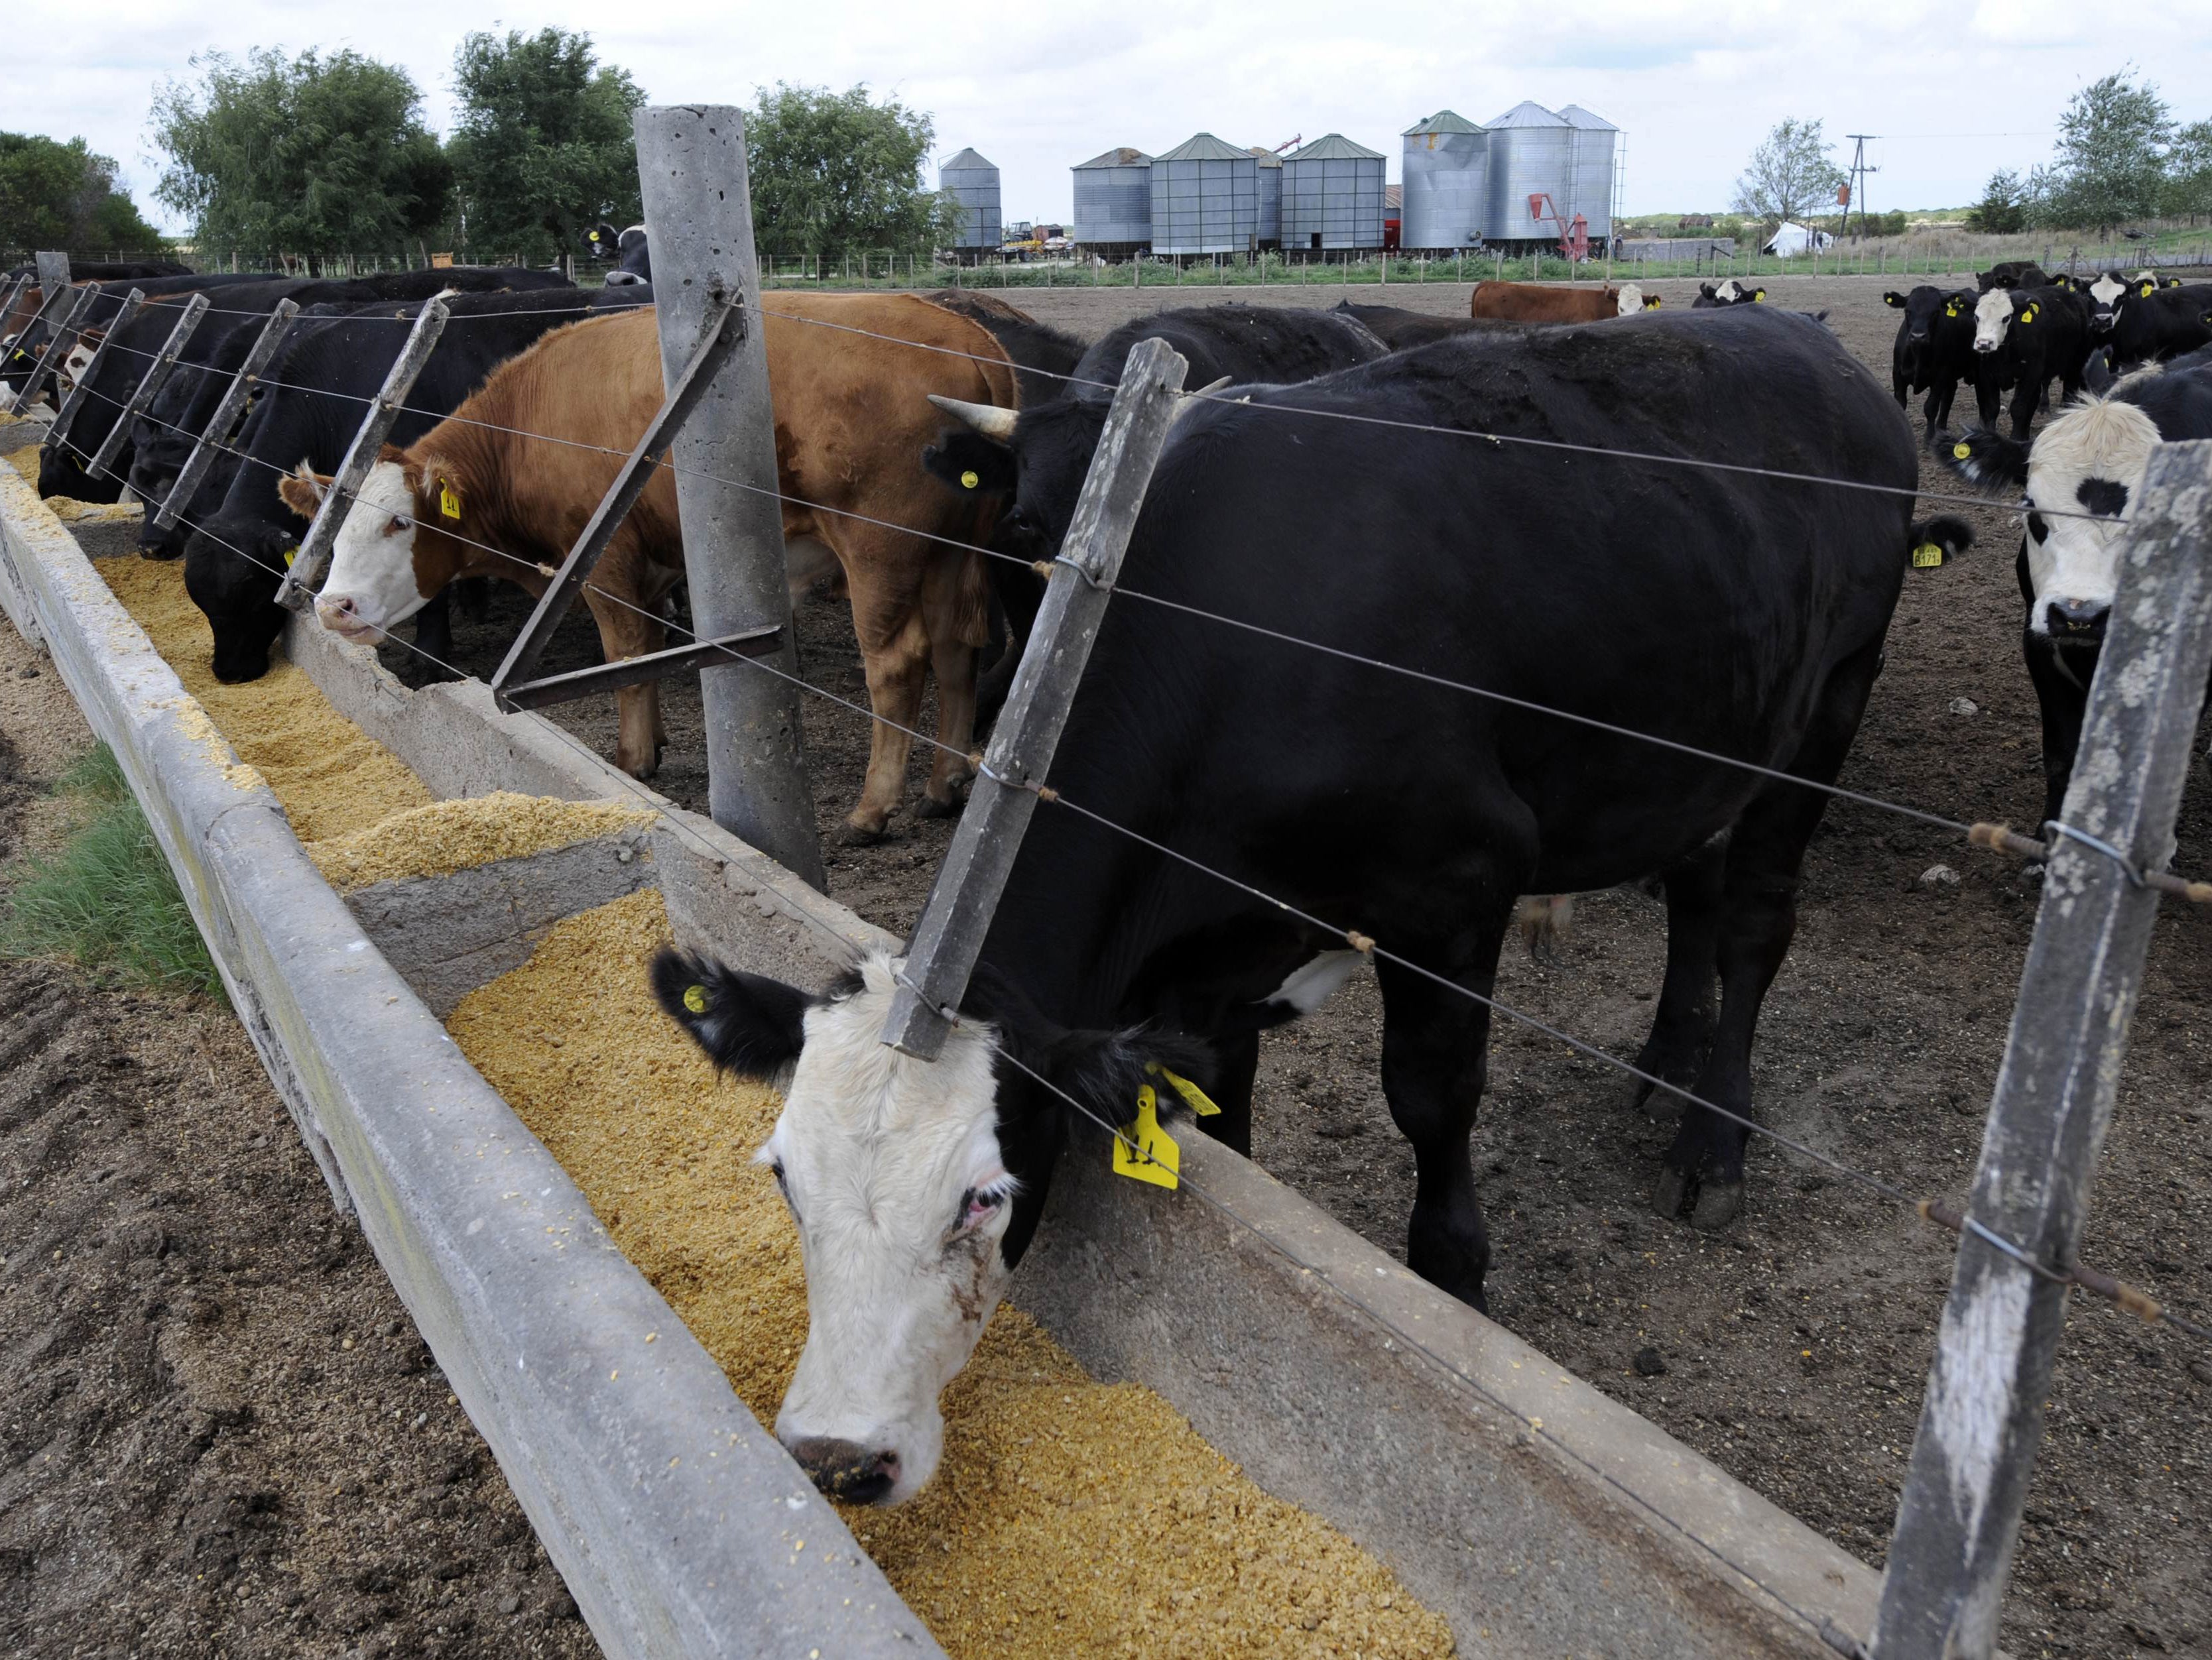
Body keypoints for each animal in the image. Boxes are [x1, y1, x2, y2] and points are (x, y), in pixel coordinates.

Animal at [278, 294, 1026, 835]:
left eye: (399, 521)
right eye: (332, 528)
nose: (332, 607)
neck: (526, 425)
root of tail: (964, 334)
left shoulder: (604, 560)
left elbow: (626, 655)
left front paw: (634, 759)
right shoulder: (657, 564)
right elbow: (657, 649)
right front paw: (657, 739)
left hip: (880, 554)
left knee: (898, 665)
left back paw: (874, 810)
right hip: (954, 555)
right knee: (957, 650)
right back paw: (943, 785)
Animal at [1875, 287, 1982, 444]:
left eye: (1936, 312)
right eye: (1907, 310)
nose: (1918, 336)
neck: (1918, 354)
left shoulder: (1940, 377)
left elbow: (1931, 407)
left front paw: (1929, 438)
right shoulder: (1898, 375)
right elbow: (1901, 403)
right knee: (1949, 394)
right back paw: (1941, 428)